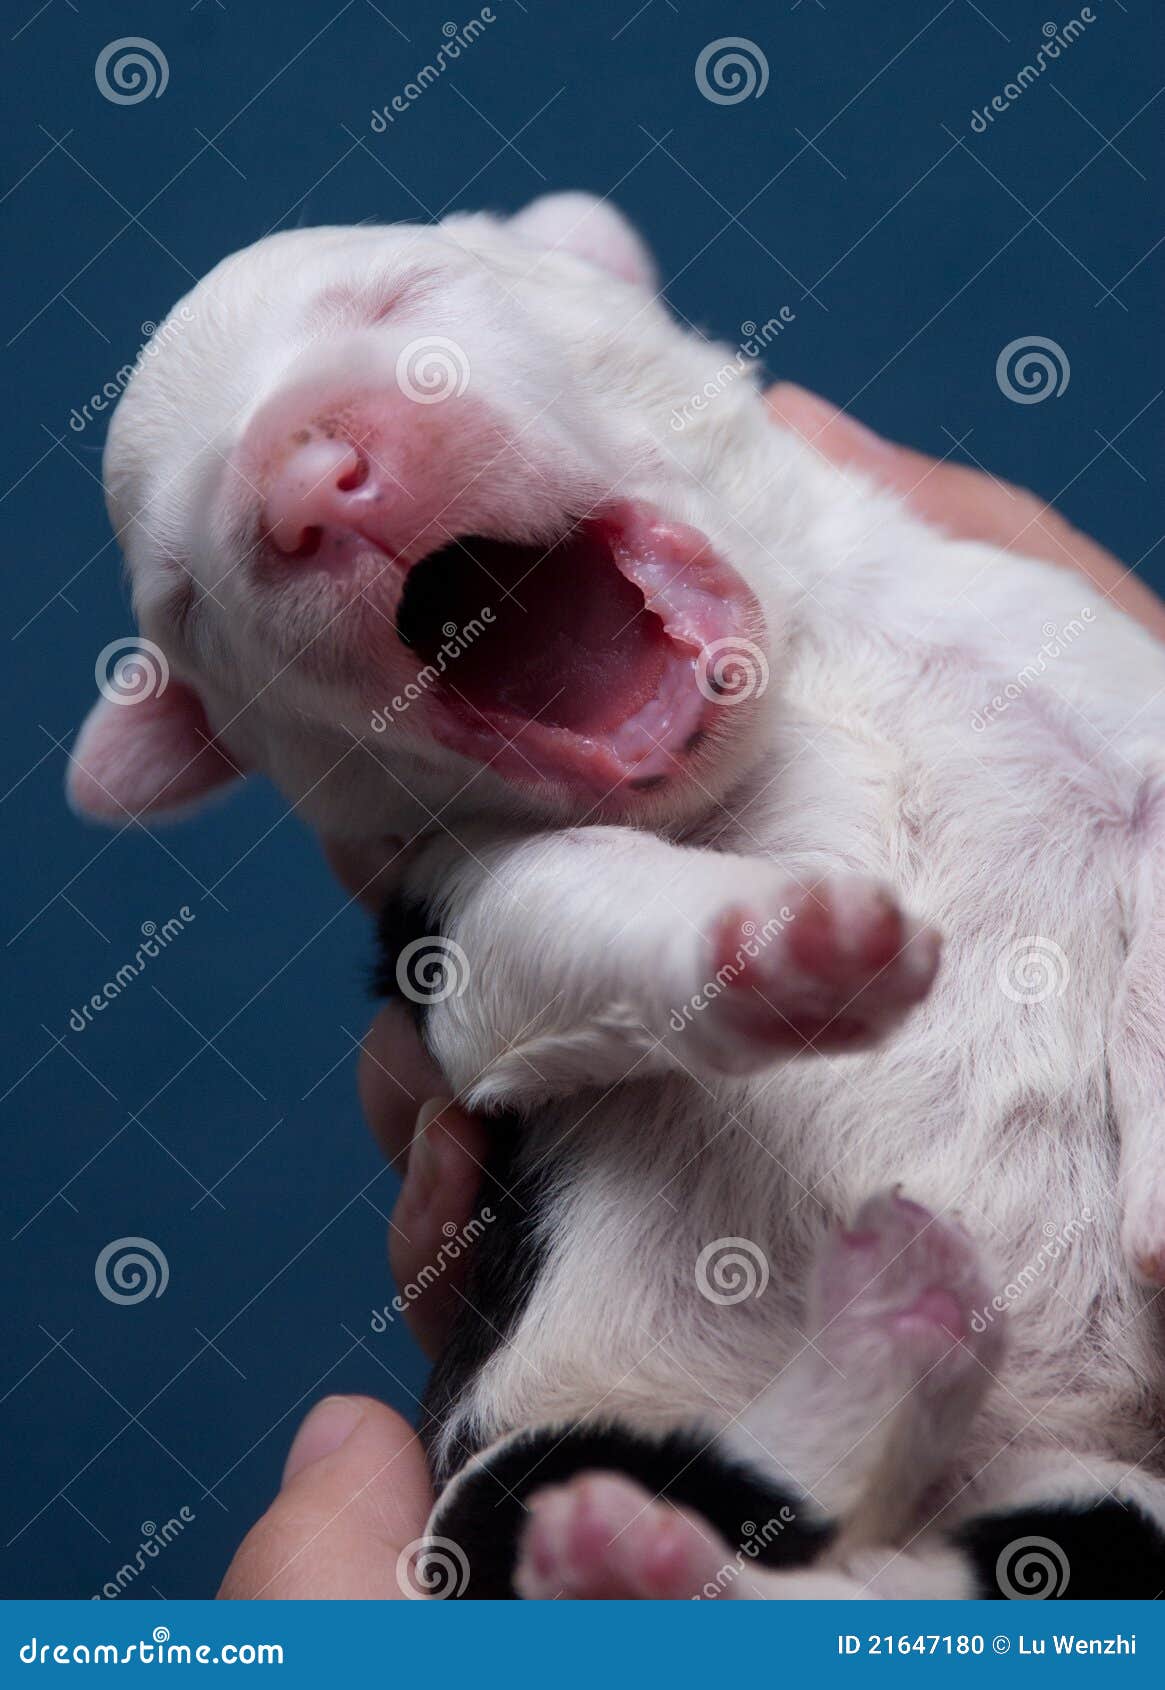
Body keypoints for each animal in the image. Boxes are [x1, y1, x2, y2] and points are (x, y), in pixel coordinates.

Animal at [72, 197, 1163, 1595]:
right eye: (184, 590)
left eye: (400, 293)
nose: (305, 481)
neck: (793, 690)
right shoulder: (455, 916)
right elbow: (576, 895)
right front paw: (782, 935)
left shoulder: (1077, 659)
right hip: (509, 1465)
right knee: (630, 1513)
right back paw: (829, 1376)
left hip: (1104, 1504)